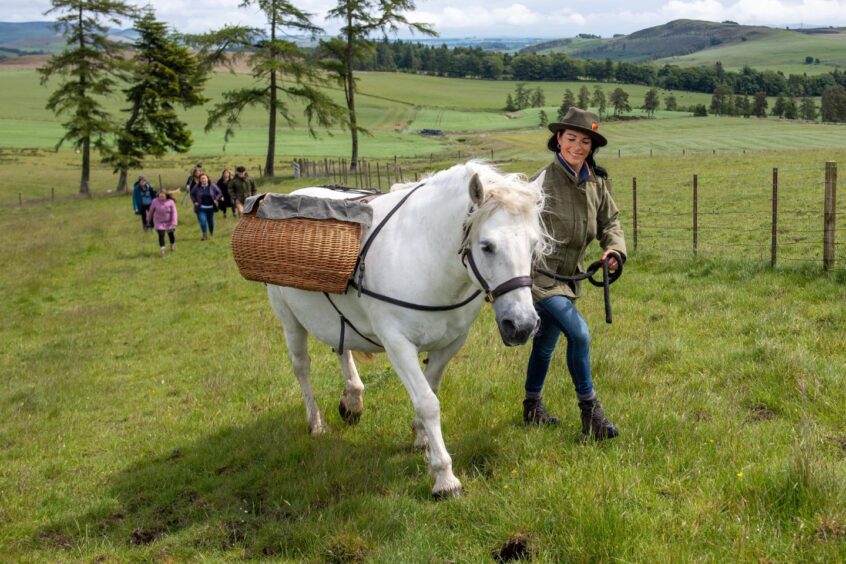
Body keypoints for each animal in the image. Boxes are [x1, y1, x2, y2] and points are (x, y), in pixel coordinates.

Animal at [268, 160, 552, 498]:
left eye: (534, 245)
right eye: (487, 246)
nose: (521, 325)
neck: (426, 255)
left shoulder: (451, 342)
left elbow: (430, 389)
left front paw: (422, 439)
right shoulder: (398, 344)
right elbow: (428, 403)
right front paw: (444, 477)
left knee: (342, 348)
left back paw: (352, 400)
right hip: (289, 319)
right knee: (302, 368)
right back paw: (317, 423)